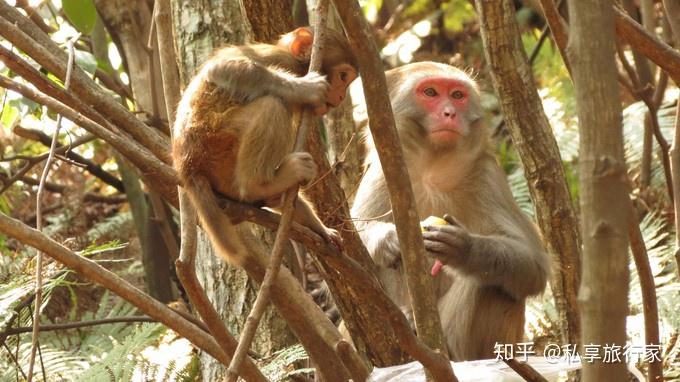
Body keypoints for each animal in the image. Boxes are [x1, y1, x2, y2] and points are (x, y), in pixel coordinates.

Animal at [173, 27, 358, 266]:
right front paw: (304, 88)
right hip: (216, 145)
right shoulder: (278, 59)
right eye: (343, 76)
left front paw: (321, 229)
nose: (342, 96)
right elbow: (220, 69)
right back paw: (257, 186)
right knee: (273, 105)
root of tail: (188, 168)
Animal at [354, 60, 548, 362]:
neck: (435, 168)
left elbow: (533, 265)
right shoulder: (382, 174)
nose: (450, 113)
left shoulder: (488, 177)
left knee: (494, 285)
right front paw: (388, 240)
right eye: (430, 92)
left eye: (457, 95)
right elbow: (347, 230)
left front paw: (463, 248)